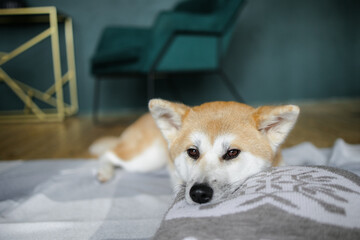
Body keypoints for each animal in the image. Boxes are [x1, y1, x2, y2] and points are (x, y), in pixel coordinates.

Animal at [91, 99, 300, 204]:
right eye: (192, 151)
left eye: (232, 152)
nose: (199, 193)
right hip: (145, 159)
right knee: (109, 153)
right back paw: (104, 172)